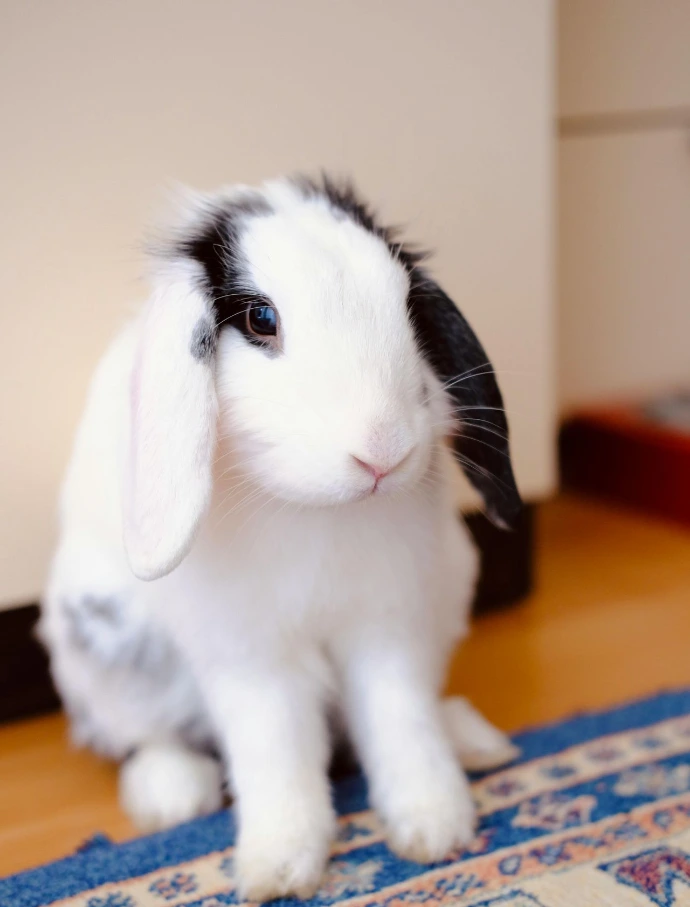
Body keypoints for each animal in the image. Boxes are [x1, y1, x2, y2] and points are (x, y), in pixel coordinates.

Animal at [40, 175, 521, 901]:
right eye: (262, 320)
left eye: (408, 306)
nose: (383, 452)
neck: (315, 508)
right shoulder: (250, 658)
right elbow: (276, 751)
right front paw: (280, 867)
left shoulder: (391, 628)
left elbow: (401, 721)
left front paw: (436, 828)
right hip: (101, 651)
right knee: (143, 735)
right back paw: (172, 796)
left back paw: (475, 740)